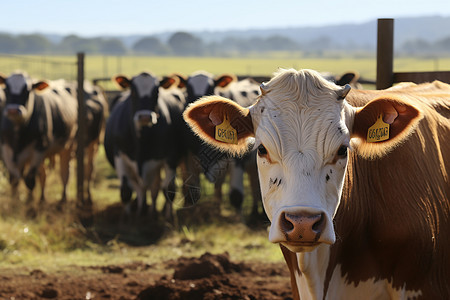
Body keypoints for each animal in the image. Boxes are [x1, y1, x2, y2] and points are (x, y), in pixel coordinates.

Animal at [0, 72, 78, 203]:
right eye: (6, 89)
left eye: (27, 91)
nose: (13, 111)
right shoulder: (7, 149)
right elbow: (14, 180)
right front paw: (14, 202)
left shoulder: (39, 149)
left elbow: (30, 180)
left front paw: (29, 204)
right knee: (41, 174)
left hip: (68, 146)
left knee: (64, 172)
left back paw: (62, 199)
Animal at [103, 72, 185, 218]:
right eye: (133, 91)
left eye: (157, 91)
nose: (145, 117)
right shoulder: (120, 156)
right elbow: (126, 191)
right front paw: (128, 218)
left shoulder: (170, 157)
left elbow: (169, 189)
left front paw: (168, 216)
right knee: (142, 189)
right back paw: (142, 210)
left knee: (153, 188)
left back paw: (150, 211)